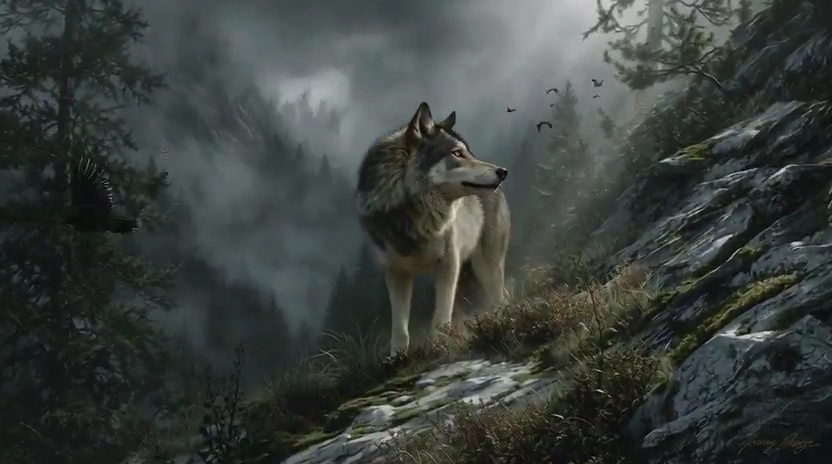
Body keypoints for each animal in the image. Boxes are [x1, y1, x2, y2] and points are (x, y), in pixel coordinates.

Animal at [355, 102, 511, 356]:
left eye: (468, 152)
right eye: (457, 153)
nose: (503, 171)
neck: (411, 218)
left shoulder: (448, 264)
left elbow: (440, 316)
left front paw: (438, 345)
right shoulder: (395, 272)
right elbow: (400, 325)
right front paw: (397, 356)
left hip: (486, 267)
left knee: (500, 297)